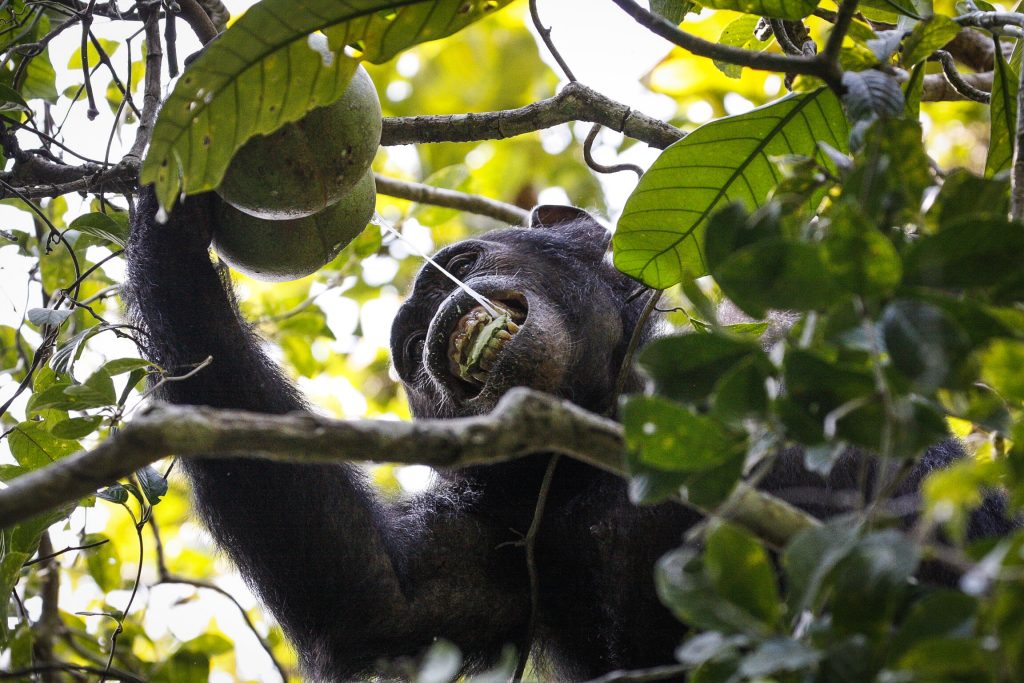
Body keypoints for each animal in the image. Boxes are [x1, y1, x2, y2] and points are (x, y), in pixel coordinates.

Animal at [124, 190, 1013, 682]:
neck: (615, 407)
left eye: (461, 259)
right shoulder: (502, 520)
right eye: (408, 352)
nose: (426, 314)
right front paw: (169, 227)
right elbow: (381, 592)